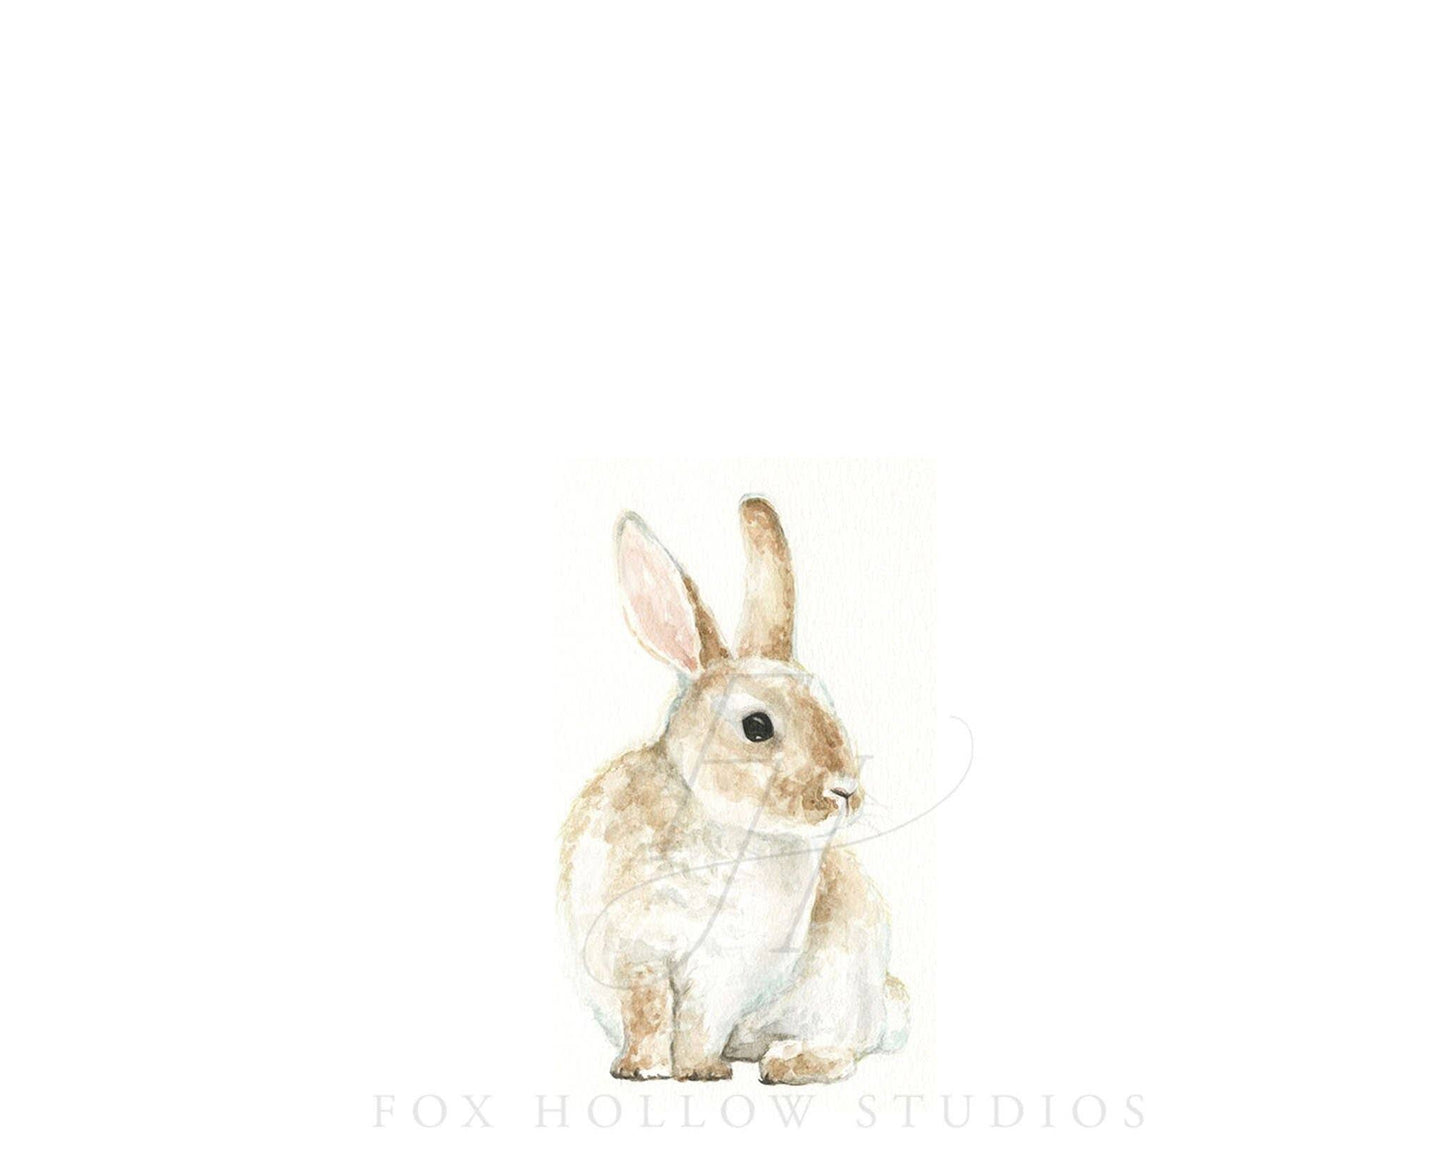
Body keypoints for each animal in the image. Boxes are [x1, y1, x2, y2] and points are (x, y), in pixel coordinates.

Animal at [558, 496, 908, 1084]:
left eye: (829, 703)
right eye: (757, 727)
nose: (845, 791)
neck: (716, 823)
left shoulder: (726, 973)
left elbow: (700, 1022)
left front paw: (699, 1071)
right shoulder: (634, 951)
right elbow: (647, 1010)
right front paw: (641, 1068)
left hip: (844, 987)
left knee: (848, 1043)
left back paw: (791, 1062)